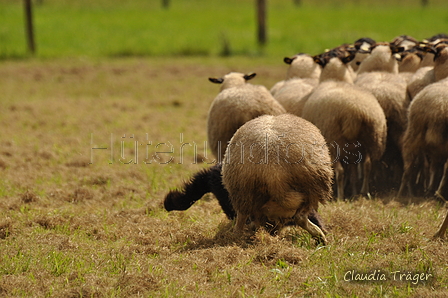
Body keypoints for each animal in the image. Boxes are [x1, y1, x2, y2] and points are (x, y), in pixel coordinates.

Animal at [222, 113, 334, 243]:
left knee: (242, 216)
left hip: (243, 190)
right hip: (308, 190)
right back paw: (320, 238)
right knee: (300, 217)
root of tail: (272, 169)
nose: (274, 231)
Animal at [300, 47, 388, 199]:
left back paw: (340, 196)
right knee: (368, 165)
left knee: (340, 171)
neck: (336, 79)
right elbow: (353, 173)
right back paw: (364, 192)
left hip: (333, 140)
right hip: (372, 139)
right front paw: (353, 191)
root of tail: (353, 113)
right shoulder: (353, 150)